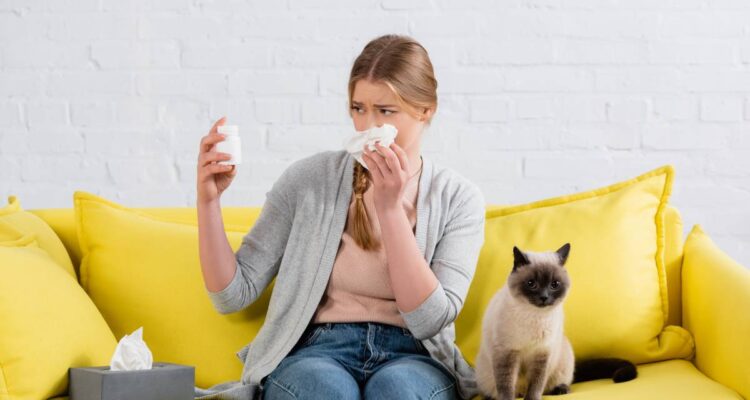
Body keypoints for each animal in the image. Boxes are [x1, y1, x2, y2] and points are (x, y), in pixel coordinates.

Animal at [478, 244, 636, 400]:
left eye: (554, 284)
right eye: (531, 284)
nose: (544, 297)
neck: (535, 316)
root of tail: (520, 393)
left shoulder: (542, 354)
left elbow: (536, 385)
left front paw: (532, 398)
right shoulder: (506, 353)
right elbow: (506, 386)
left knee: (558, 383)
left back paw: (560, 389)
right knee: (495, 391)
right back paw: (490, 397)